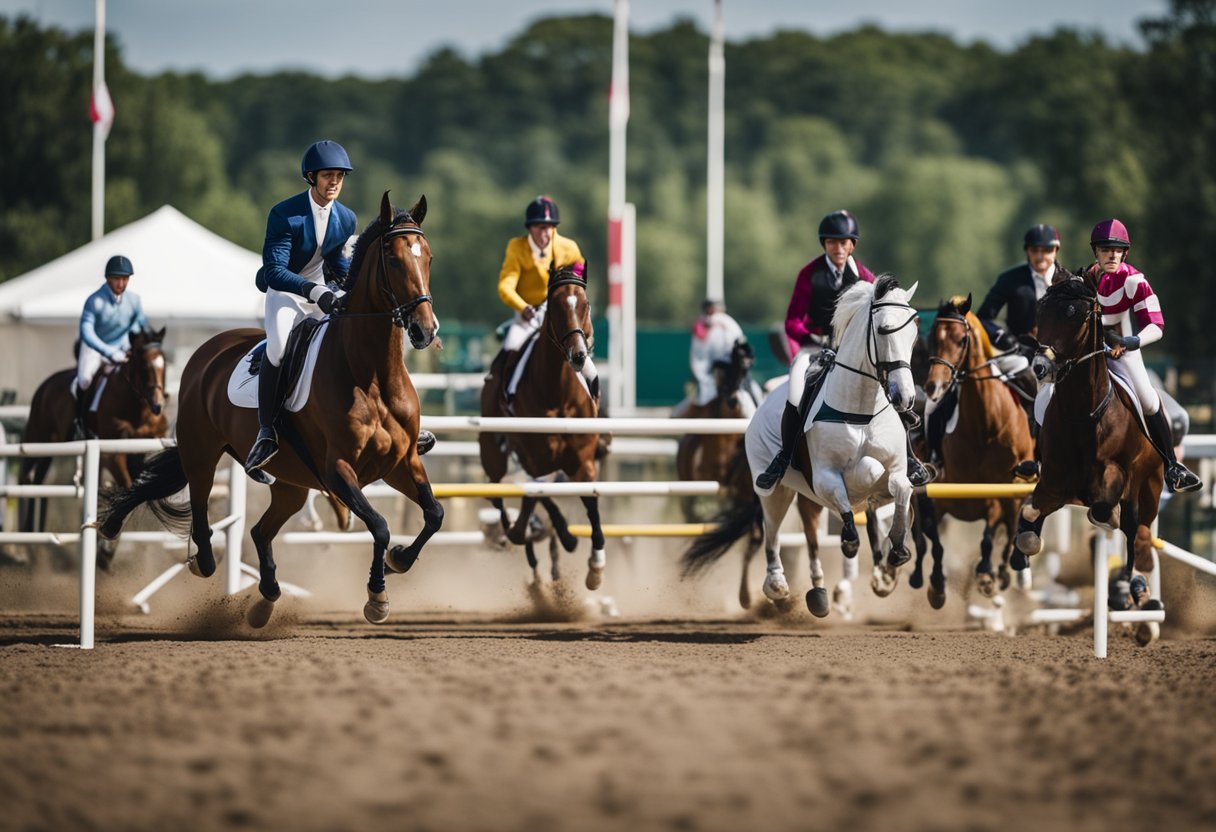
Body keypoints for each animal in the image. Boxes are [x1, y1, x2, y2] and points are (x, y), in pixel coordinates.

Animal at [17, 327, 169, 567]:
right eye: (144, 366)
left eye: (165, 364)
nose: (158, 406)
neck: (135, 407)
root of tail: (46, 385)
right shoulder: (111, 455)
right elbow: (125, 491)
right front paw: (106, 550)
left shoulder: (138, 452)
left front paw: (106, 550)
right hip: (38, 438)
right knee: (26, 478)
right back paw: (25, 547)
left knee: (38, 481)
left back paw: (35, 544)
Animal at [98, 193, 443, 626]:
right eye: (394, 260)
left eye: (427, 257)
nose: (425, 330)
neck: (372, 375)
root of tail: (208, 352)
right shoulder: (339, 470)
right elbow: (380, 525)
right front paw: (377, 596)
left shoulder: (400, 463)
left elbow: (434, 514)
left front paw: (398, 561)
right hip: (202, 453)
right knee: (201, 506)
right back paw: (205, 562)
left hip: (292, 484)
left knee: (260, 532)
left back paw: (265, 600)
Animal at [479, 262, 606, 590]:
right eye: (557, 307)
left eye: (586, 304)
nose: (578, 355)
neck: (556, 393)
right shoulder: (536, 458)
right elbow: (540, 493)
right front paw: (565, 537)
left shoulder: (583, 461)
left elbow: (590, 504)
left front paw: (595, 567)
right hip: (493, 455)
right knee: (497, 494)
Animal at [912, 295, 1036, 606]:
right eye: (934, 339)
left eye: (961, 339)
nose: (934, 386)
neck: (985, 424)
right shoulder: (937, 494)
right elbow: (934, 541)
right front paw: (936, 586)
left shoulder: (997, 490)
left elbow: (990, 535)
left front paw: (986, 574)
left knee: (1010, 528)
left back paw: (1004, 571)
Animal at [1012, 275, 1164, 616]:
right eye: (1041, 311)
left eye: (1073, 314)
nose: (1040, 367)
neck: (1082, 414)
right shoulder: (1054, 483)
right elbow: (1030, 510)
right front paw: (1023, 547)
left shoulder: (1115, 475)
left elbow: (1105, 507)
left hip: (1151, 487)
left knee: (1140, 534)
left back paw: (1137, 587)